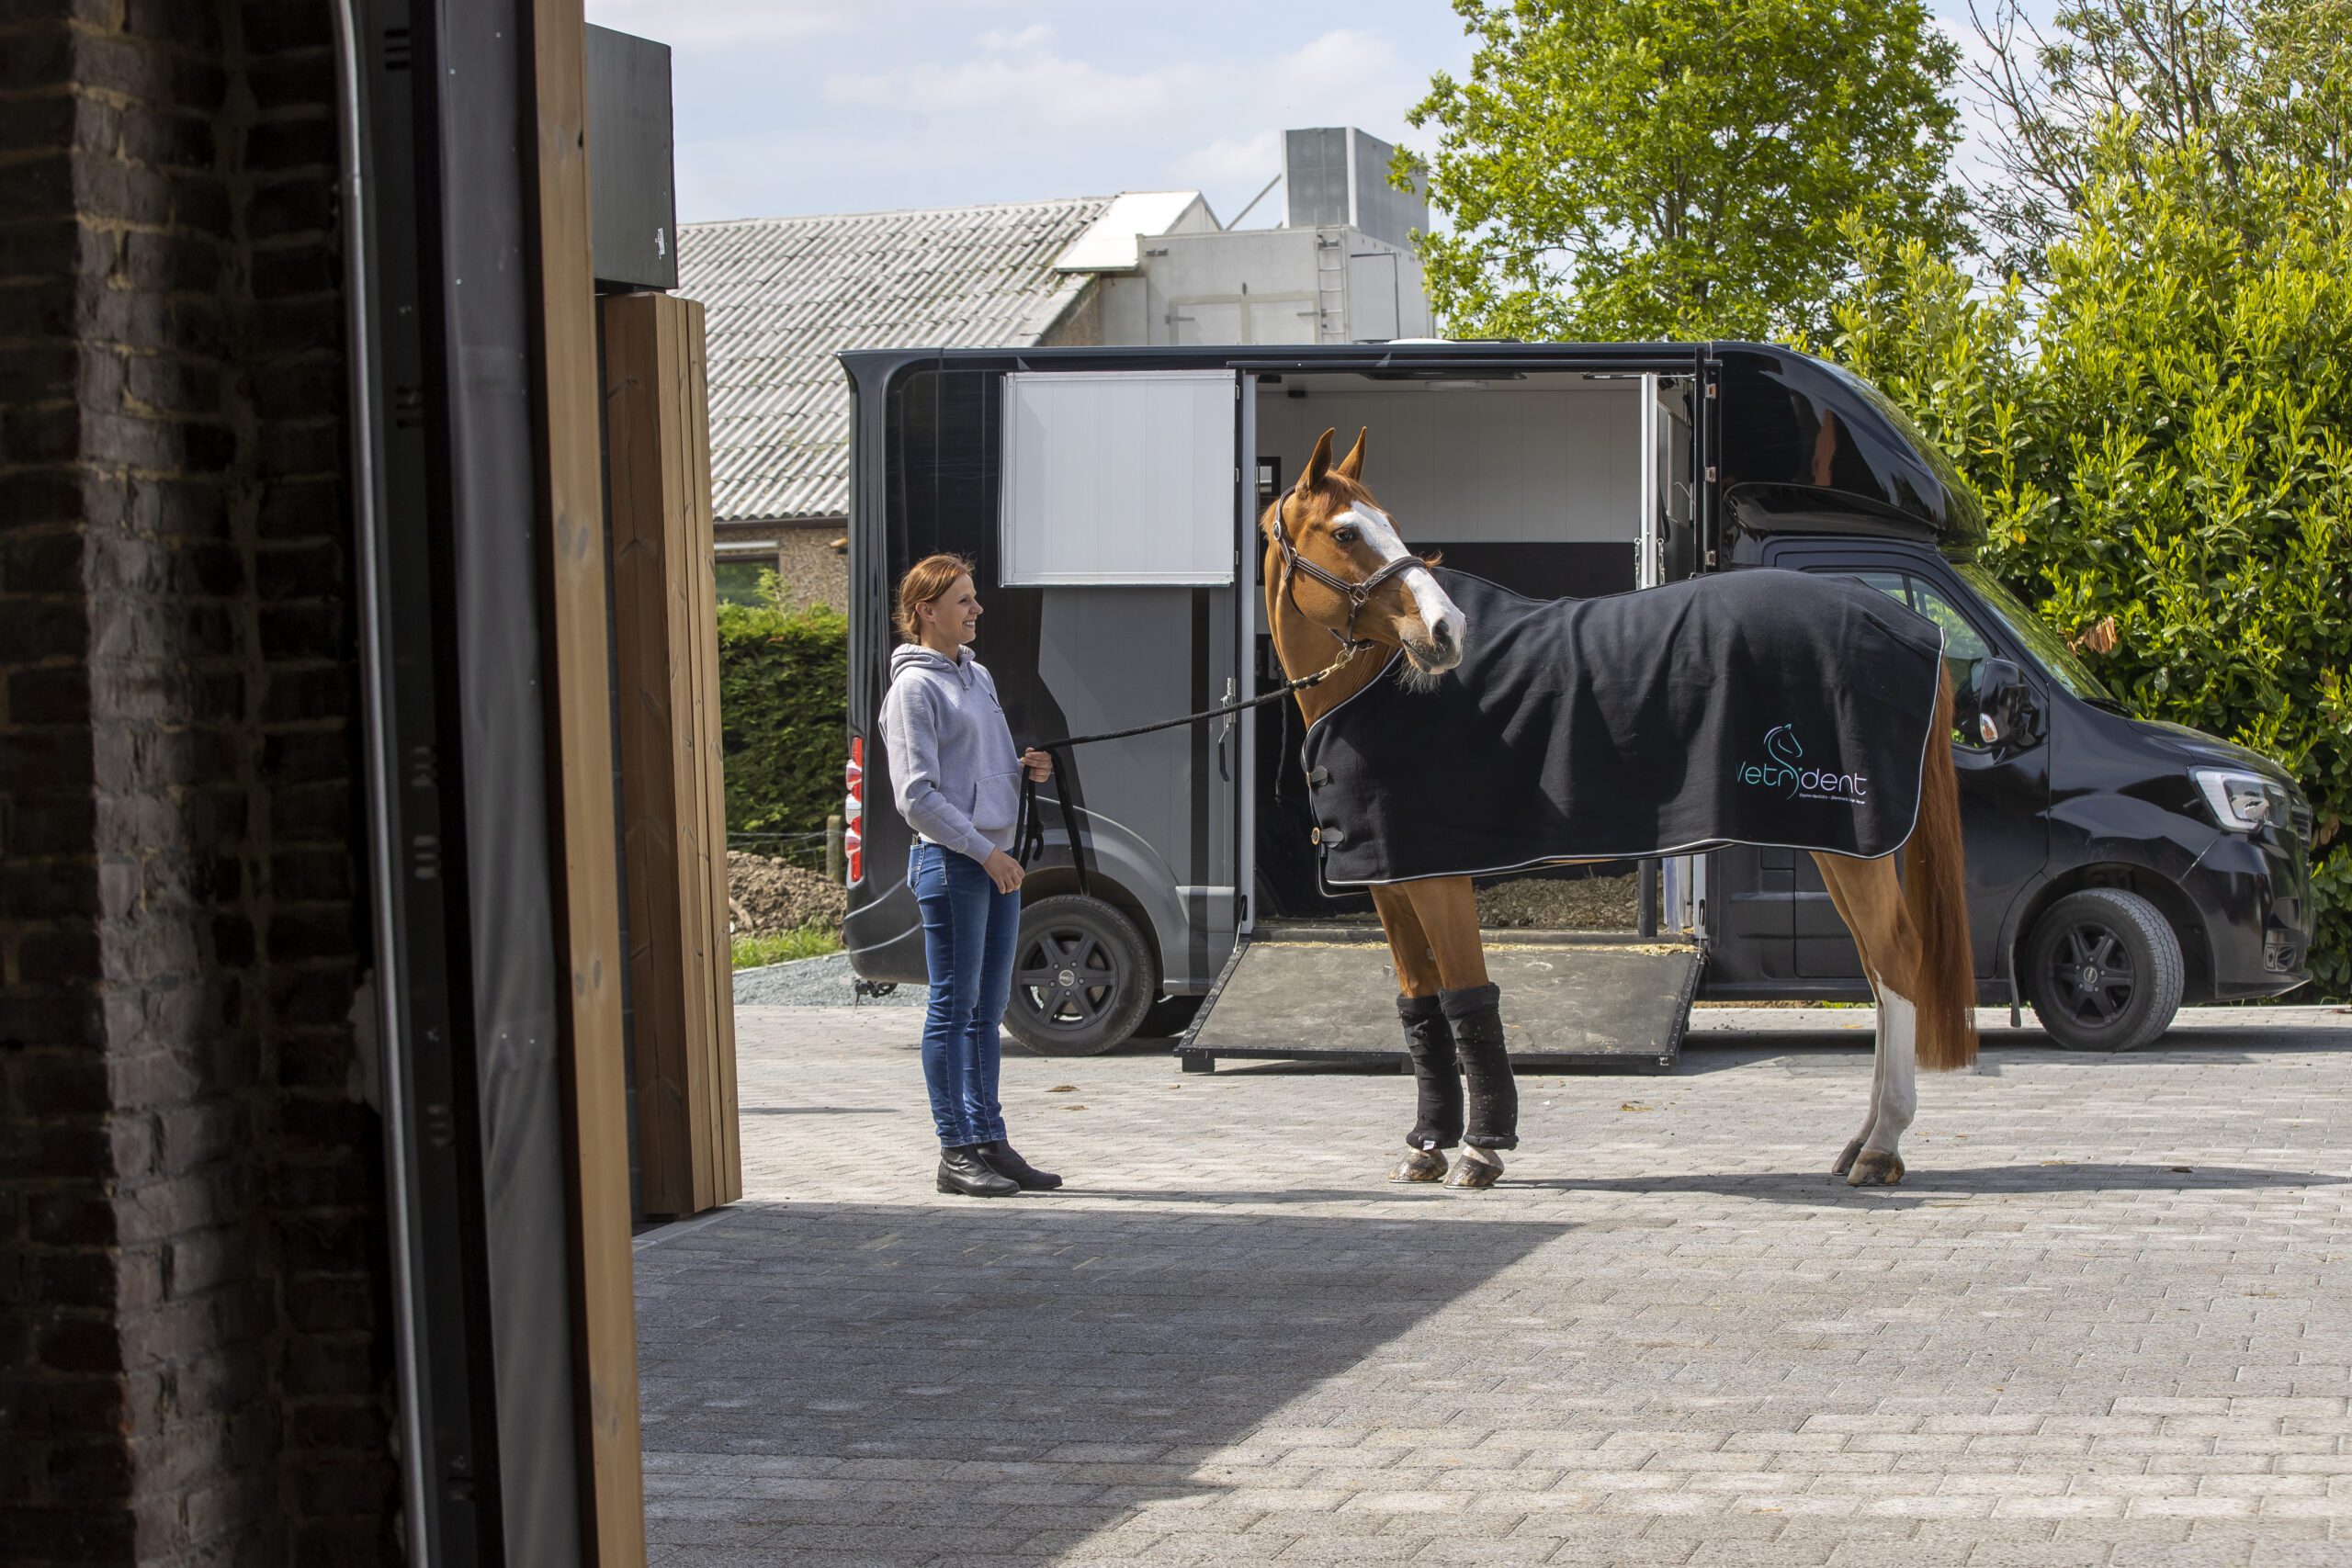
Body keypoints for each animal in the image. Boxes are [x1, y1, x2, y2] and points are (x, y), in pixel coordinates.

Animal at [1263, 426, 1978, 1190]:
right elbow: (1420, 1007)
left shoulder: (1441, 878)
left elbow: (1468, 996)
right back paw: (1861, 1141)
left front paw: (1482, 1150)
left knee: (1897, 960)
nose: (1447, 629)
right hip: (1841, 847)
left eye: (1389, 524)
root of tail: (1910, 627)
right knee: (1876, 972)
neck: (1380, 687)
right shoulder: (1393, 882)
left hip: (1854, 843)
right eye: (1346, 531)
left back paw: (1883, 1145)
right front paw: (1426, 1146)